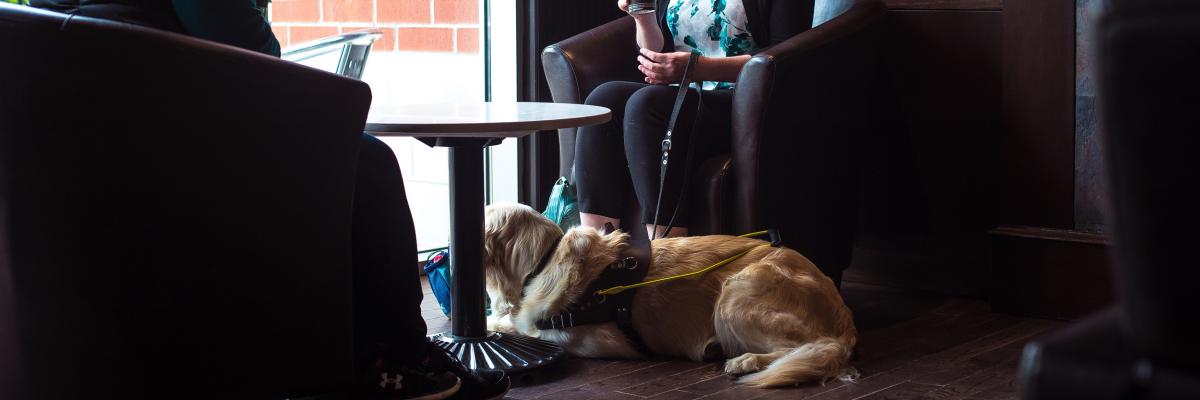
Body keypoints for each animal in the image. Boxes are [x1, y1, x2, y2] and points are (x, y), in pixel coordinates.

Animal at [482, 203, 859, 386]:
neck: (545, 258)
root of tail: (844, 320)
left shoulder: (583, 338)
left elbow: (519, 327)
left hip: (736, 291)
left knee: (804, 347)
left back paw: (745, 361)